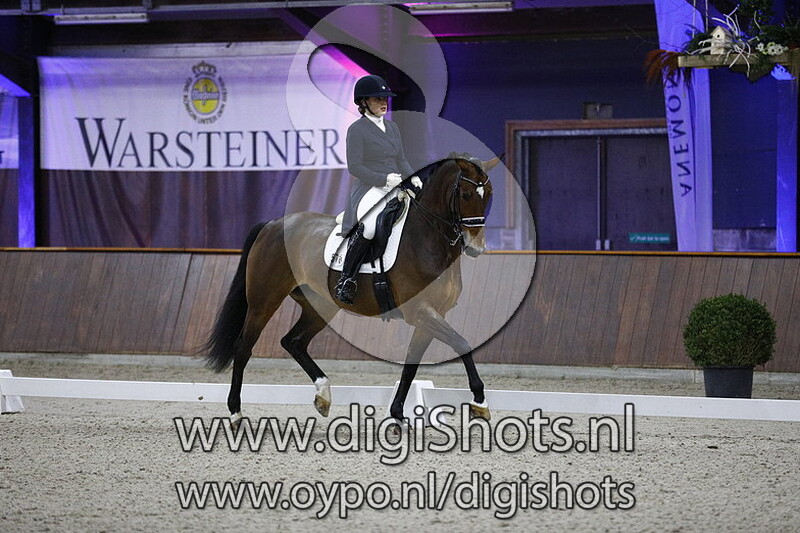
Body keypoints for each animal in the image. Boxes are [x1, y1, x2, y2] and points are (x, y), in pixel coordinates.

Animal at [202, 154, 499, 428]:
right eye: (465, 194)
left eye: (489, 195)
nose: (476, 247)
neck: (425, 238)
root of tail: (272, 224)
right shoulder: (420, 312)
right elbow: (462, 344)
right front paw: (480, 403)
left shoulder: (430, 315)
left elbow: (411, 366)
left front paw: (398, 414)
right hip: (264, 300)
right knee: (243, 348)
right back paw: (235, 413)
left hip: (320, 306)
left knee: (293, 342)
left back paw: (323, 395)